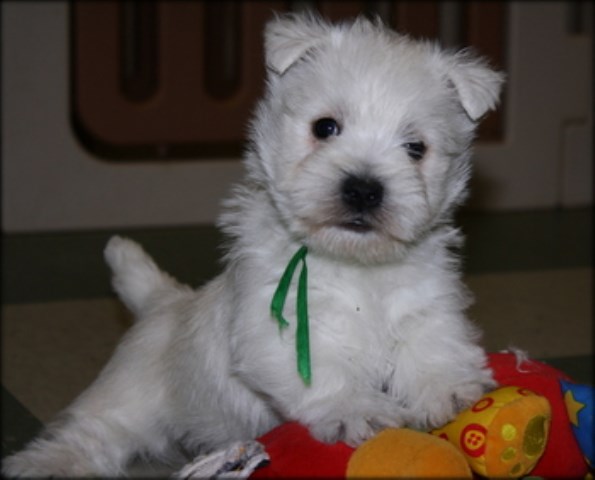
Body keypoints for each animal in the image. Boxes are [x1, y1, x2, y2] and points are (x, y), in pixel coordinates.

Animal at [2, 13, 506, 478]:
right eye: (325, 127)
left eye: (416, 148)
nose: (364, 189)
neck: (355, 264)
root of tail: (163, 303)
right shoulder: (277, 323)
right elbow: (324, 371)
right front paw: (356, 411)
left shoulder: (427, 302)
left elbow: (433, 341)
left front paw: (449, 391)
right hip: (128, 400)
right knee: (92, 434)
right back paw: (44, 464)